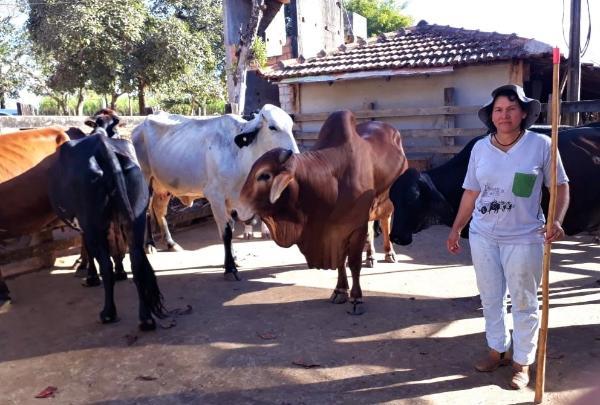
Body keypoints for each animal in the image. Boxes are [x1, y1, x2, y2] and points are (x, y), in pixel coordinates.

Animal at [48, 133, 165, 328]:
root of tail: (103, 145)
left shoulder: (84, 225)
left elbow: (91, 251)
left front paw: (91, 277)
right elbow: (117, 249)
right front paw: (120, 272)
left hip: (92, 223)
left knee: (106, 265)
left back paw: (108, 313)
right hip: (136, 217)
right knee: (136, 261)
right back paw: (145, 318)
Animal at [132, 104, 298, 280]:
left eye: (291, 126)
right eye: (273, 127)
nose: (294, 155)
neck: (241, 155)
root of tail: (140, 125)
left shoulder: (232, 200)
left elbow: (231, 227)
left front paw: (233, 258)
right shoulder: (215, 196)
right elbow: (226, 232)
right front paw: (230, 267)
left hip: (162, 187)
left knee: (159, 210)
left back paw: (171, 243)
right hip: (145, 179)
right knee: (146, 212)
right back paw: (149, 244)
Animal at [239, 111, 408, 316]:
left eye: (264, 175)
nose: (237, 210)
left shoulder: (355, 228)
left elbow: (353, 263)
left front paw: (356, 298)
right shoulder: (335, 232)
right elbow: (341, 262)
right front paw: (340, 290)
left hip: (387, 204)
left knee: (384, 223)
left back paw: (389, 253)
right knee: (371, 228)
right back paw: (371, 257)